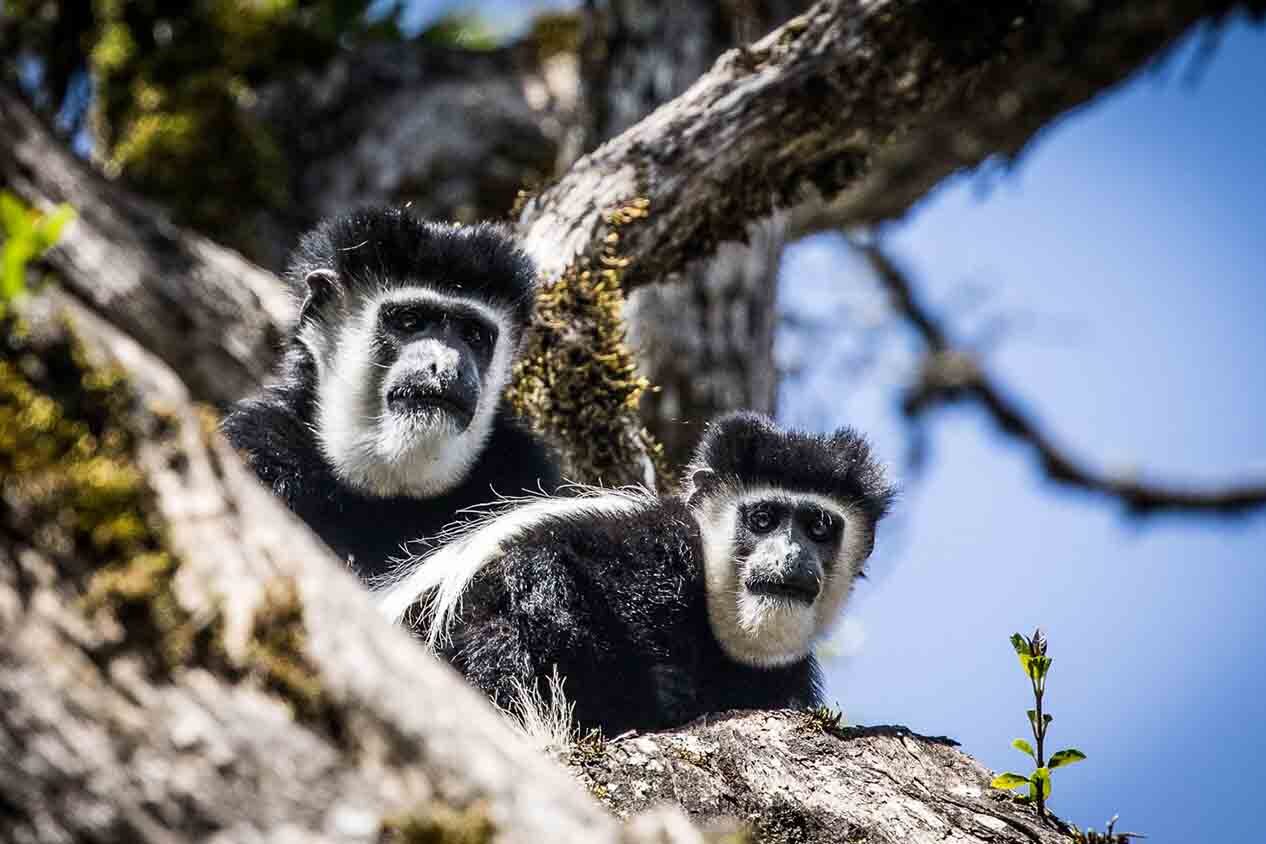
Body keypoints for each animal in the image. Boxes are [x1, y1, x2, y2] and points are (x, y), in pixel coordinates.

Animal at [375, 411, 894, 736]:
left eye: (819, 527)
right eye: (763, 518)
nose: (790, 555)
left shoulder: (787, 675)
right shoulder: (659, 545)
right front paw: (666, 695)